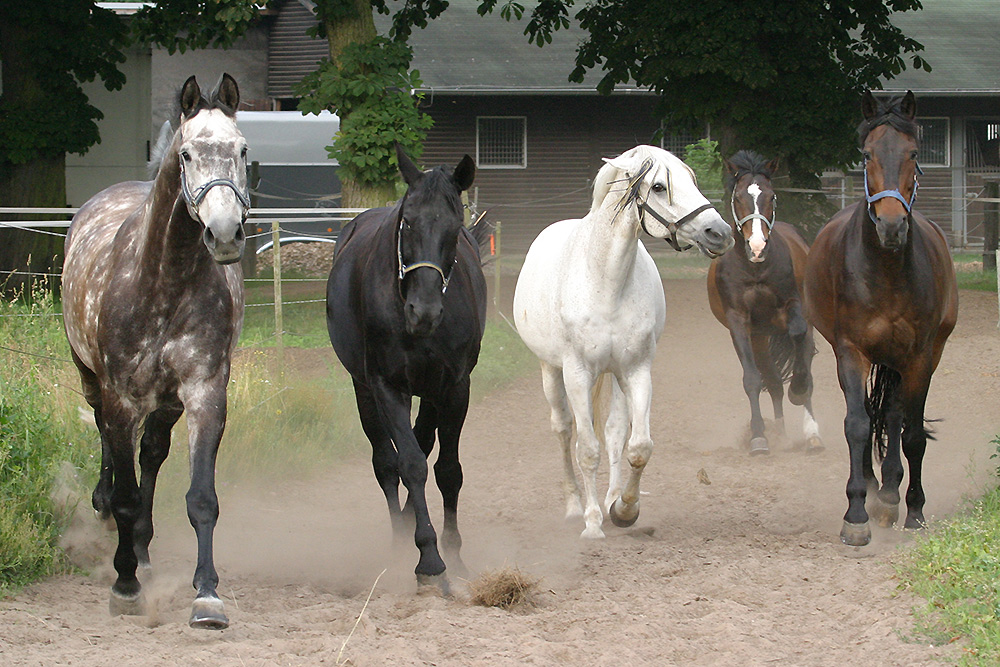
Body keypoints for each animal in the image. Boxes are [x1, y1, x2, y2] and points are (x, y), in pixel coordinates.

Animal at [61, 75, 249, 628]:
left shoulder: (204, 393)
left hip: (165, 403)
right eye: (186, 154)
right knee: (106, 436)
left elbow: (201, 498)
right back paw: (108, 519)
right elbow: (125, 494)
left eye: (242, 149)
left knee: (152, 453)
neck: (165, 280)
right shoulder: (121, 396)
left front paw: (206, 595)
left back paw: (143, 548)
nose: (225, 234)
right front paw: (124, 586)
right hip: (92, 380)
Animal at [326, 144, 486, 592]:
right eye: (408, 221)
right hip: (363, 389)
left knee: (423, 442)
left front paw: (454, 552)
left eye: (455, 226)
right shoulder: (386, 386)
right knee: (387, 463)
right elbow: (409, 464)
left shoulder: (454, 387)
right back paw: (400, 541)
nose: (423, 311)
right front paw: (428, 557)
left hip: (432, 392)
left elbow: (447, 470)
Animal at [512, 145, 732, 536]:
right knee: (563, 430)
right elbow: (587, 449)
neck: (605, 281)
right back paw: (575, 506)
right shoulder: (577, 374)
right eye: (659, 186)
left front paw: (625, 509)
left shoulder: (636, 370)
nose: (719, 233)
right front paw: (592, 524)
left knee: (614, 431)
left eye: (691, 180)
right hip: (551, 371)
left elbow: (638, 446)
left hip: (613, 375)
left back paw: (611, 496)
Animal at [704, 151, 820, 456]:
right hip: (759, 337)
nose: (757, 247)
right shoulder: (739, 323)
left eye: (772, 196)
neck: (754, 268)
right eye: (737, 197)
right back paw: (779, 433)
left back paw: (812, 433)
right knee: (774, 382)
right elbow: (753, 379)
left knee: (803, 361)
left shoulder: (793, 307)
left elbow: (797, 335)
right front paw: (759, 437)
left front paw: (798, 391)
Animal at [800, 90, 956, 548]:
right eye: (867, 154)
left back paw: (890, 495)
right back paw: (875, 490)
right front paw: (855, 514)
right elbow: (857, 424)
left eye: (914, 153)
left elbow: (913, 433)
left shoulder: (920, 357)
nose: (890, 225)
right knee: (873, 415)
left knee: (894, 418)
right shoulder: (852, 352)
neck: (885, 271)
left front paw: (915, 510)